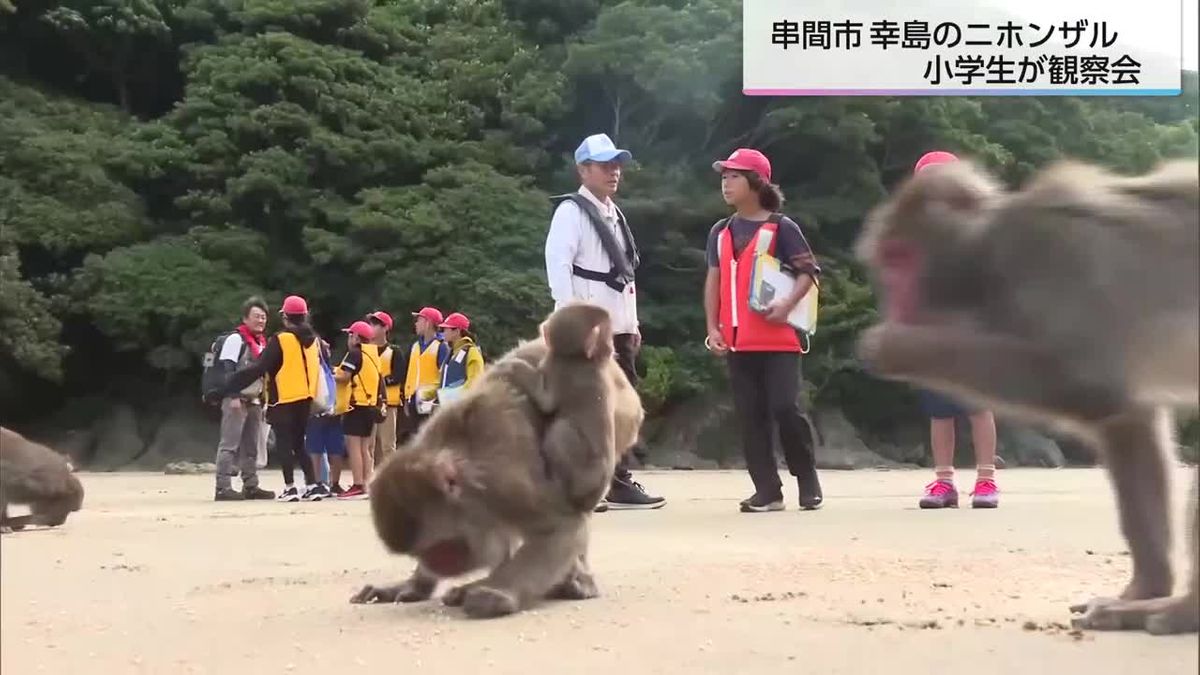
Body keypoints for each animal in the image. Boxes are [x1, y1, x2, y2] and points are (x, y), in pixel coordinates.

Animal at [854, 154, 1200, 634]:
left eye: (901, 258)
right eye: (887, 261)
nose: (894, 302)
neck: (987, 253)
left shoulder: (1049, 253)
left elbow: (1086, 381)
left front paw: (893, 346)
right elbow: (1126, 418)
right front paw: (1141, 591)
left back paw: (1187, 611)